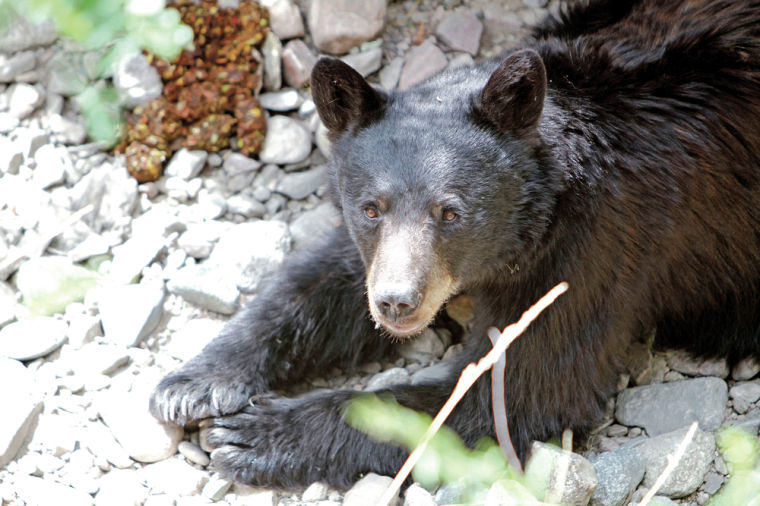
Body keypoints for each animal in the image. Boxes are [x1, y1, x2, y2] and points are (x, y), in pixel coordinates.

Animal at [151, 0, 760, 490]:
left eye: (450, 212)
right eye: (371, 208)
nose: (396, 303)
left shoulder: (596, 247)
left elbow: (515, 390)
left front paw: (257, 433)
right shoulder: (375, 251)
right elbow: (322, 281)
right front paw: (195, 381)